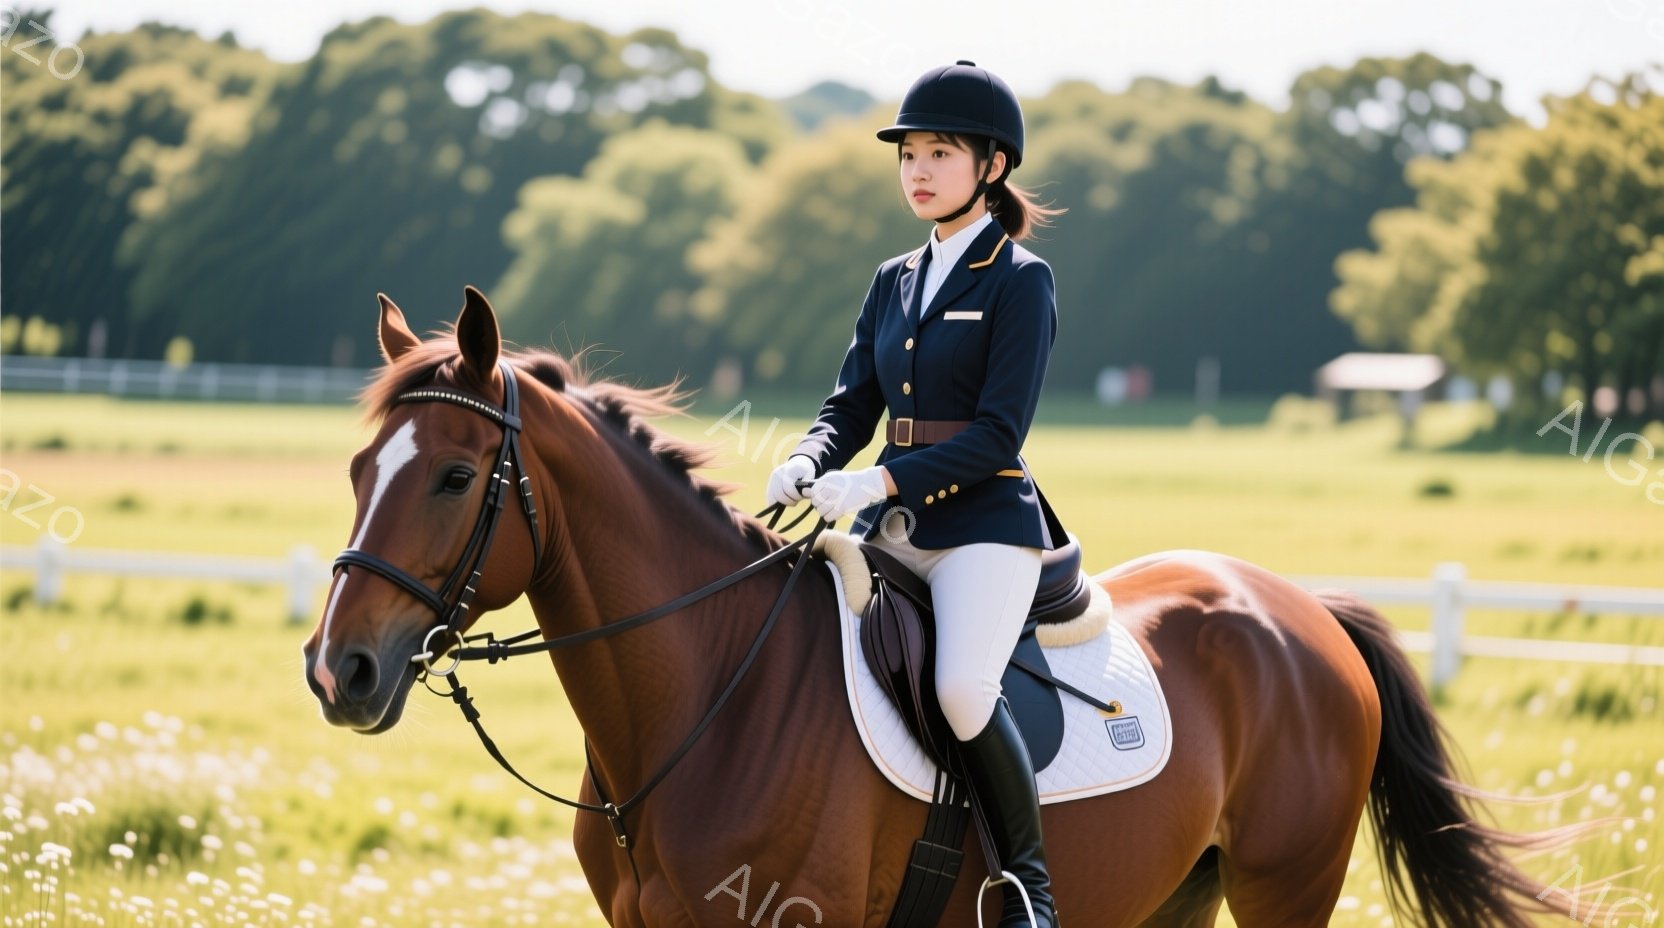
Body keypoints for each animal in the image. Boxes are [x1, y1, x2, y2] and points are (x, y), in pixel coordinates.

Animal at [302, 286, 1587, 928]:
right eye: (359, 466)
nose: (338, 671)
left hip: (1286, 884)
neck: (705, 706)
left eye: (454, 476)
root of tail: (1297, 608)